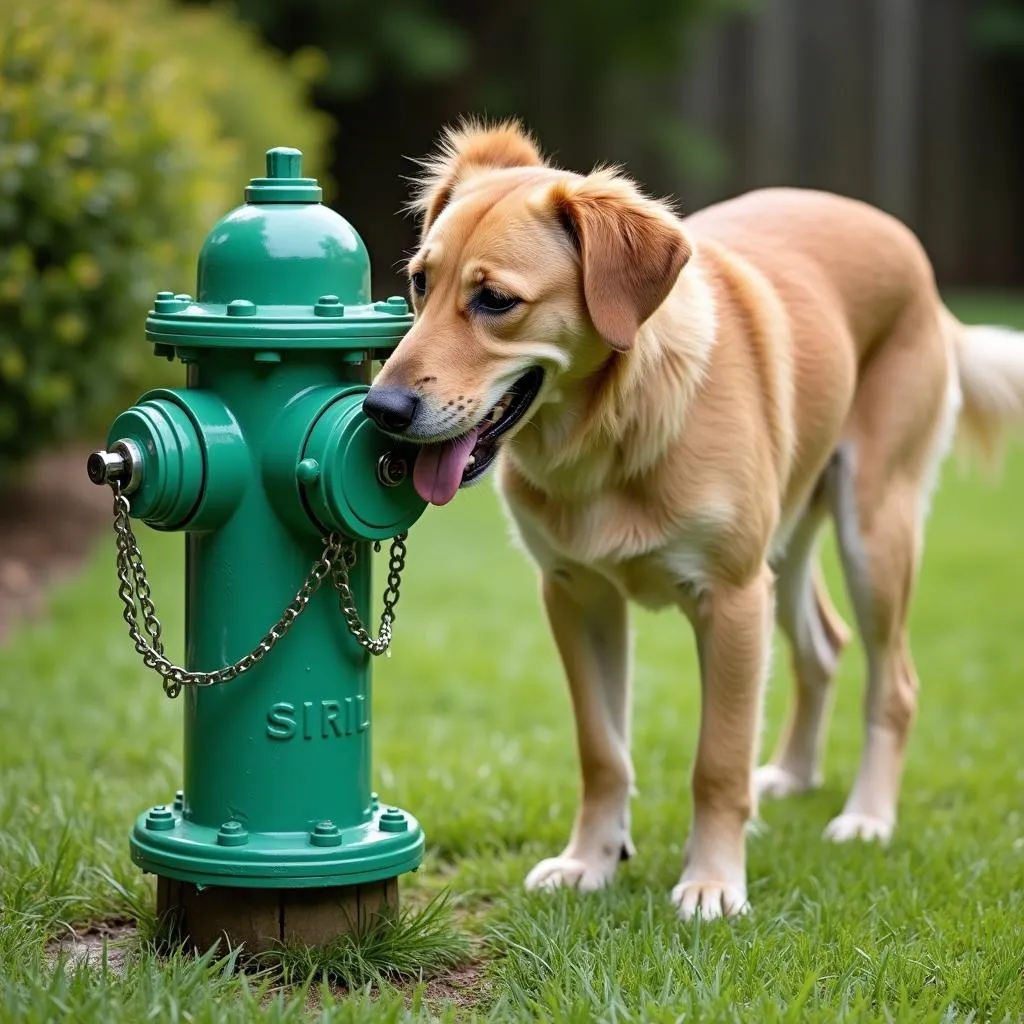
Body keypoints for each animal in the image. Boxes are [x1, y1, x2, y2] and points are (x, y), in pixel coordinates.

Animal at [362, 119, 1024, 921]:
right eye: (420, 283)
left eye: (494, 300)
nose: (381, 409)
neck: (607, 435)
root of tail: (909, 252)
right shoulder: (579, 596)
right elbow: (602, 752)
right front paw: (590, 861)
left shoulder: (731, 601)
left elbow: (718, 761)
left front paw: (712, 881)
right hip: (786, 549)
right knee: (822, 647)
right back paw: (793, 775)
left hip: (873, 533)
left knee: (893, 683)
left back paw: (866, 817)